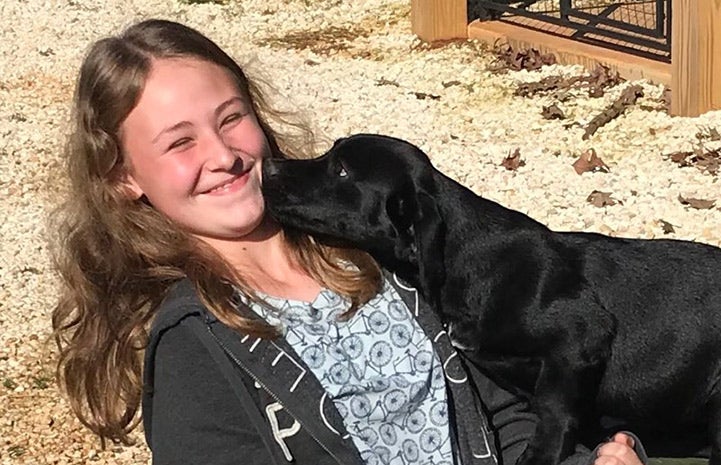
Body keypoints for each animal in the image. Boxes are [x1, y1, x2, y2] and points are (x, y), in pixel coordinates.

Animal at [262, 132, 720, 464]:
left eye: (340, 171)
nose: (267, 166)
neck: (465, 260)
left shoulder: (580, 337)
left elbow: (554, 410)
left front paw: (540, 456)